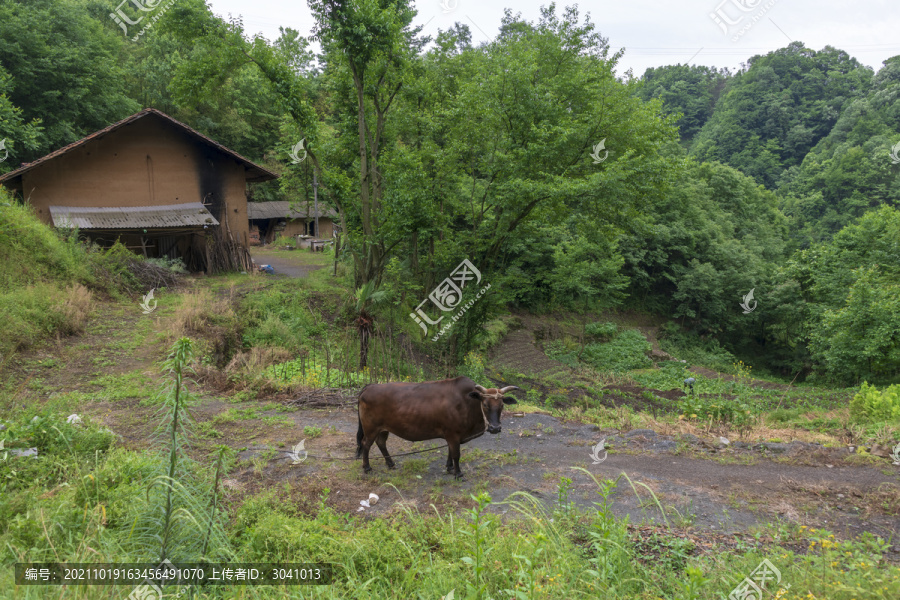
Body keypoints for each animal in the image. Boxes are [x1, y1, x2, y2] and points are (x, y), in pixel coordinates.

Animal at [356, 378, 516, 480]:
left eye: (502, 405)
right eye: (485, 404)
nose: (495, 428)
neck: (467, 403)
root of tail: (370, 386)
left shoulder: (453, 436)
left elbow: (450, 452)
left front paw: (450, 468)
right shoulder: (453, 434)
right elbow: (456, 454)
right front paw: (458, 474)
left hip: (383, 428)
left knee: (381, 443)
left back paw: (390, 464)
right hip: (370, 428)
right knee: (366, 444)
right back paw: (367, 468)